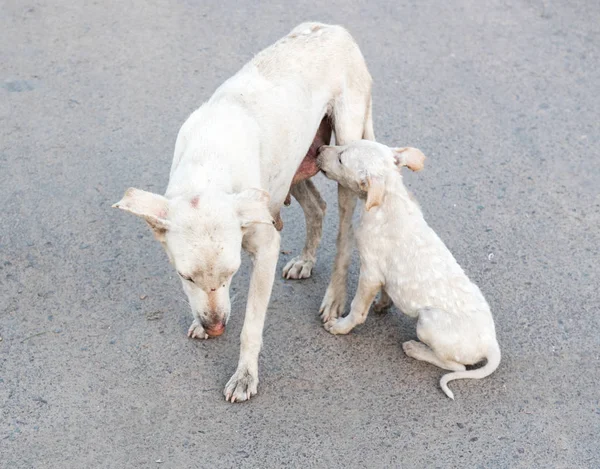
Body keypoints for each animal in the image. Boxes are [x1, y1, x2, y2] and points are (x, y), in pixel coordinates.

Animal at [114, 22, 372, 402]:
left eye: (232, 272)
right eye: (185, 276)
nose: (216, 328)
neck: (206, 168)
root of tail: (334, 28)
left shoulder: (266, 248)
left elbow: (251, 326)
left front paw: (245, 376)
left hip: (345, 155)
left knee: (343, 233)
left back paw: (334, 298)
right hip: (291, 166)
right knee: (316, 206)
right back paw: (305, 261)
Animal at [318, 140, 502, 398]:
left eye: (341, 159)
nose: (319, 149)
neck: (390, 199)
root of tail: (491, 345)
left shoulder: (371, 273)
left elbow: (356, 309)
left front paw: (341, 327)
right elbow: (387, 290)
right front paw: (383, 304)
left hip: (427, 323)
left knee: (456, 366)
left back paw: (416, 349)